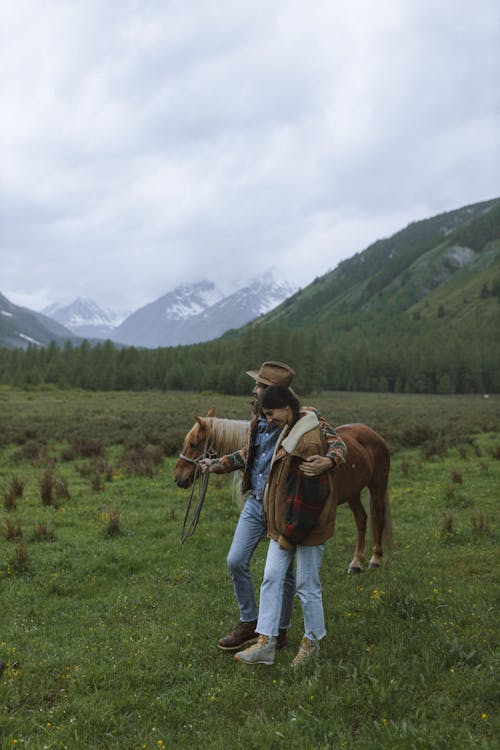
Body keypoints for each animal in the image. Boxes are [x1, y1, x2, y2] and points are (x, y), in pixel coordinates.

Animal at [174, 408, 392, 572]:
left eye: (193, 444)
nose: (177, 477)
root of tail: (374, 434)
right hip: (353, 493)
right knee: (361, 519)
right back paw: (356, 562)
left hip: (377, 486)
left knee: (379, 517)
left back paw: (375, 558)